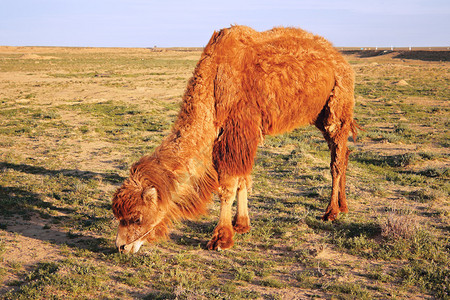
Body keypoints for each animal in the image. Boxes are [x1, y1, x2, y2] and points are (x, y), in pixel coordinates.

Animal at [113, 25, 358, 253]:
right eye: (118, 215)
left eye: (136, 217)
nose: (121, 246)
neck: (214, 84)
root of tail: (341, 60)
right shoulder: (238, 136)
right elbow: (242, 180)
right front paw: (241, 224)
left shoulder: (238, 131)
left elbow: (228, 186)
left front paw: (221, 238)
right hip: (320, 114)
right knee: (343, 154)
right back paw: (344, 205)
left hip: (337, 107)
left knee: (336, 161)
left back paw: (331, 212)